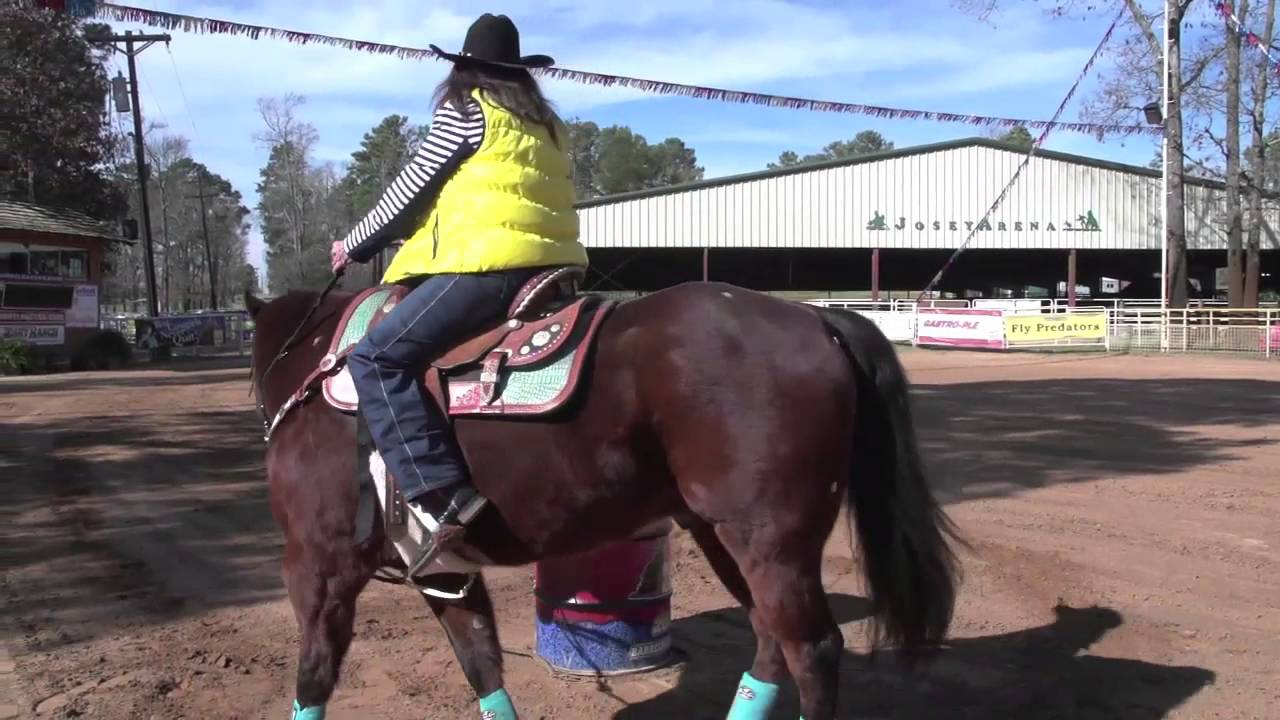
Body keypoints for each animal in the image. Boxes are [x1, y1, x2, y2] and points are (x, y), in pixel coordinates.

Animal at [245, 278, 961, 720]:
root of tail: (815, 316)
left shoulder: (319, 566)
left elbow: (314, 675)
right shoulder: (446, 571)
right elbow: (482, 663)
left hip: (770, 541)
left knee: (812, 651)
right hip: (724, 536)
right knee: (770, 641)